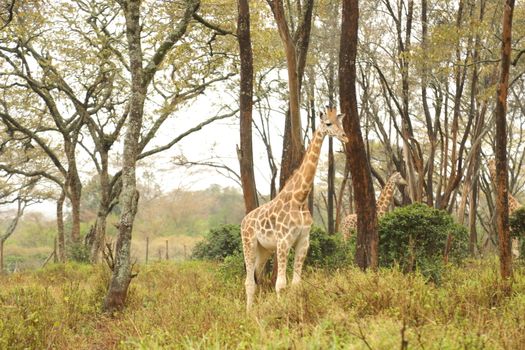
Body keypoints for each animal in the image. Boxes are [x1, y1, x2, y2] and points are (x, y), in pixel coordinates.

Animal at [238, 106, 346, 308]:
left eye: (340, 122)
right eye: (328, 123)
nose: (345, 137)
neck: (300, 198)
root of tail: (243, 221)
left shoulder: (303, 241)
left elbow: (296, 284)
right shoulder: (283, 241)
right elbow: (280, 284)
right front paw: (281, 312)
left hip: (264, 249)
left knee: (256, 278)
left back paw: (253, 311)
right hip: (249, 244)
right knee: (248, 282)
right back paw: (248, 314)